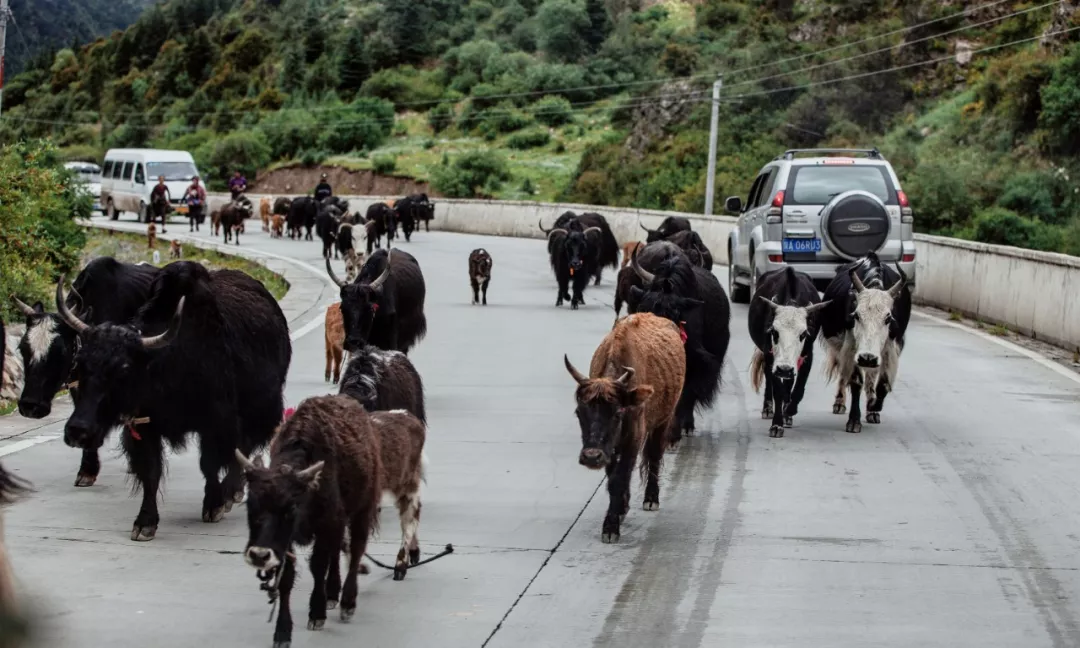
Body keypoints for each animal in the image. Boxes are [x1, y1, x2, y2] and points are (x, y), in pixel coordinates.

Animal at [565, 313, 682, 542]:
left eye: (618, 413)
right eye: (579, 413)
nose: (591, 457)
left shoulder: (633, 439)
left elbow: (620, 477)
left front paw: (610, 527)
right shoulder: (610, 448)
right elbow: (613, 477)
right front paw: (619, 511)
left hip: (663, 421)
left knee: (654, 456)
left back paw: (651, 498)